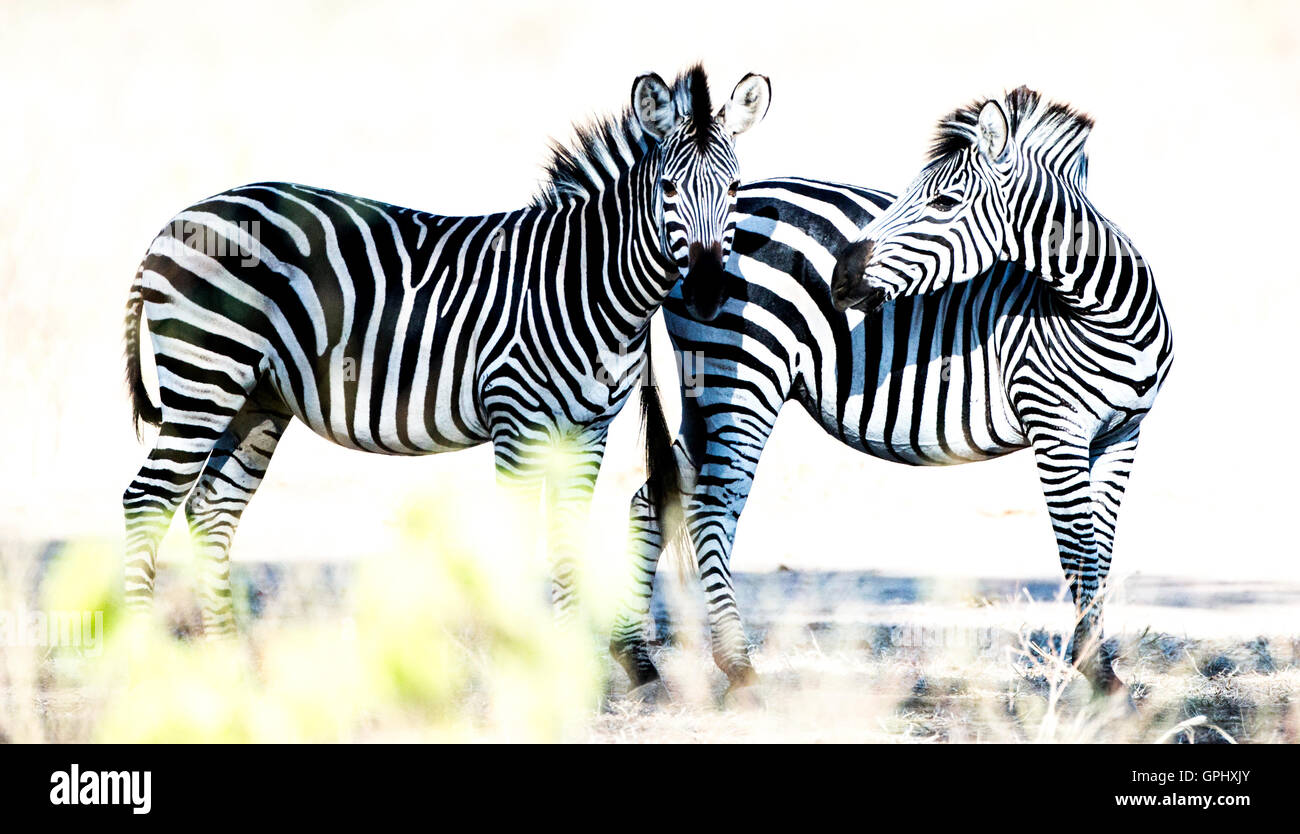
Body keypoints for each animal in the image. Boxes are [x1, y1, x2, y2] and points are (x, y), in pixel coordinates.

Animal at [122, 64, 769, 633]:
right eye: (669, 189)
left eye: (736, 188)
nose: (708, 293)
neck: (586, 285)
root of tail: (176, 222)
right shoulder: (516, 421)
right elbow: (513, 545)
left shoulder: (589, 431)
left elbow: (567, 543)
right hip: (205, 380)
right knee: (147, 501)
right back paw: (142, 655)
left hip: (257, 398)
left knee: (211, 512)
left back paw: (225, 662)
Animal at [613, 85, 1175, 696]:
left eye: (946, 203)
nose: (840, 280)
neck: (1100, 311)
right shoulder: (1055, 429)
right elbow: (1078, 552)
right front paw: (1095, 673)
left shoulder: (1122, 437)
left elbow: (1101, 553)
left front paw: (1100, 666)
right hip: (743, 377)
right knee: (712, 507)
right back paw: (738, 666)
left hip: (707, 389)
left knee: (656, 498)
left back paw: (635, 658)